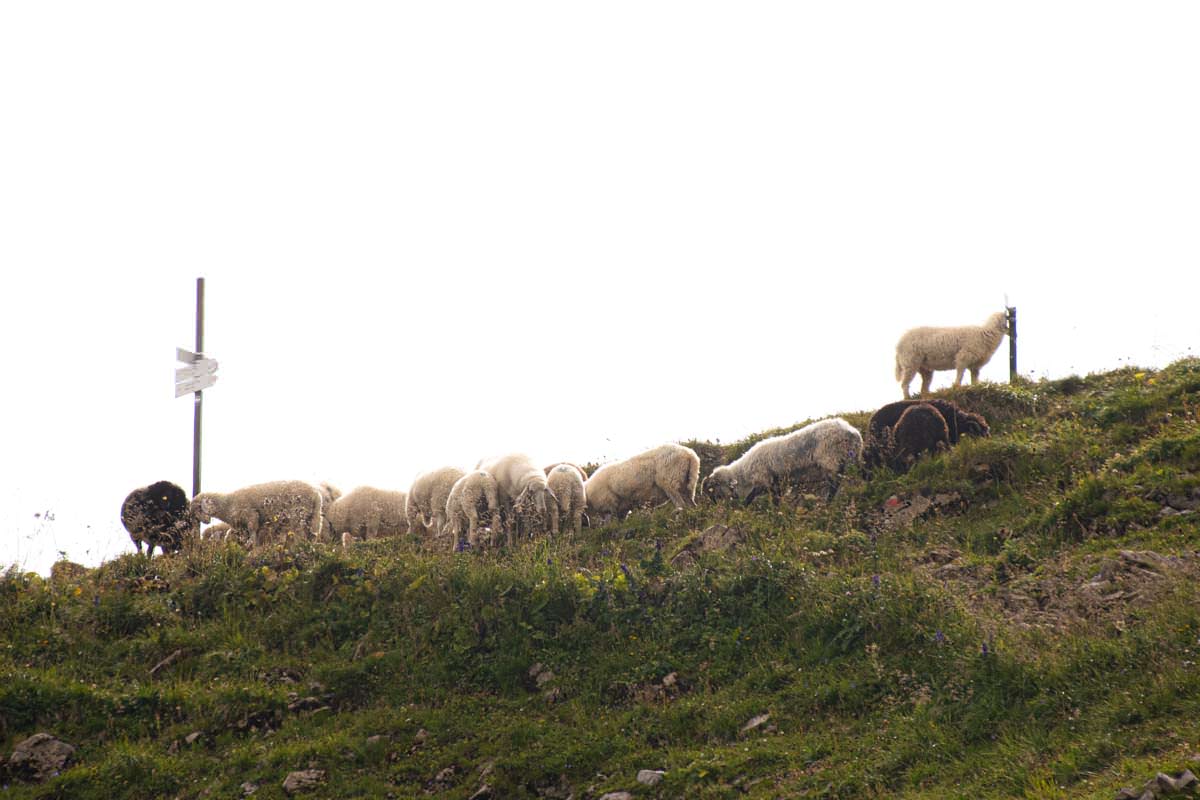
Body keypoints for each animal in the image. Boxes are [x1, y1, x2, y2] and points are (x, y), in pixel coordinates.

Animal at [188, 479, 321, 546]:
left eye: (199, 509)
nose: (205, 522)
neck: (227, 503)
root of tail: (316, 495)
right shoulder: (240, 525)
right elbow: (232, 535)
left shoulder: (250, 515)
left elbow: (252, 530)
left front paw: (250, 544)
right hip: (313, 518)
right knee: (312, 535)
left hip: (297, 516)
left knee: (299, 534)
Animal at [700, 419, 864, 506]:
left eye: (713, 489)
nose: (715, 506)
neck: (743, 473)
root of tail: (852, 432)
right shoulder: (774, 483)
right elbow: (775, 498)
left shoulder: (764, 480)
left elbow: (753, 497)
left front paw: (742, 508)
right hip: (846, 459)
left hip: (830, 460)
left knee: (834, 484)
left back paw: (827, 503)